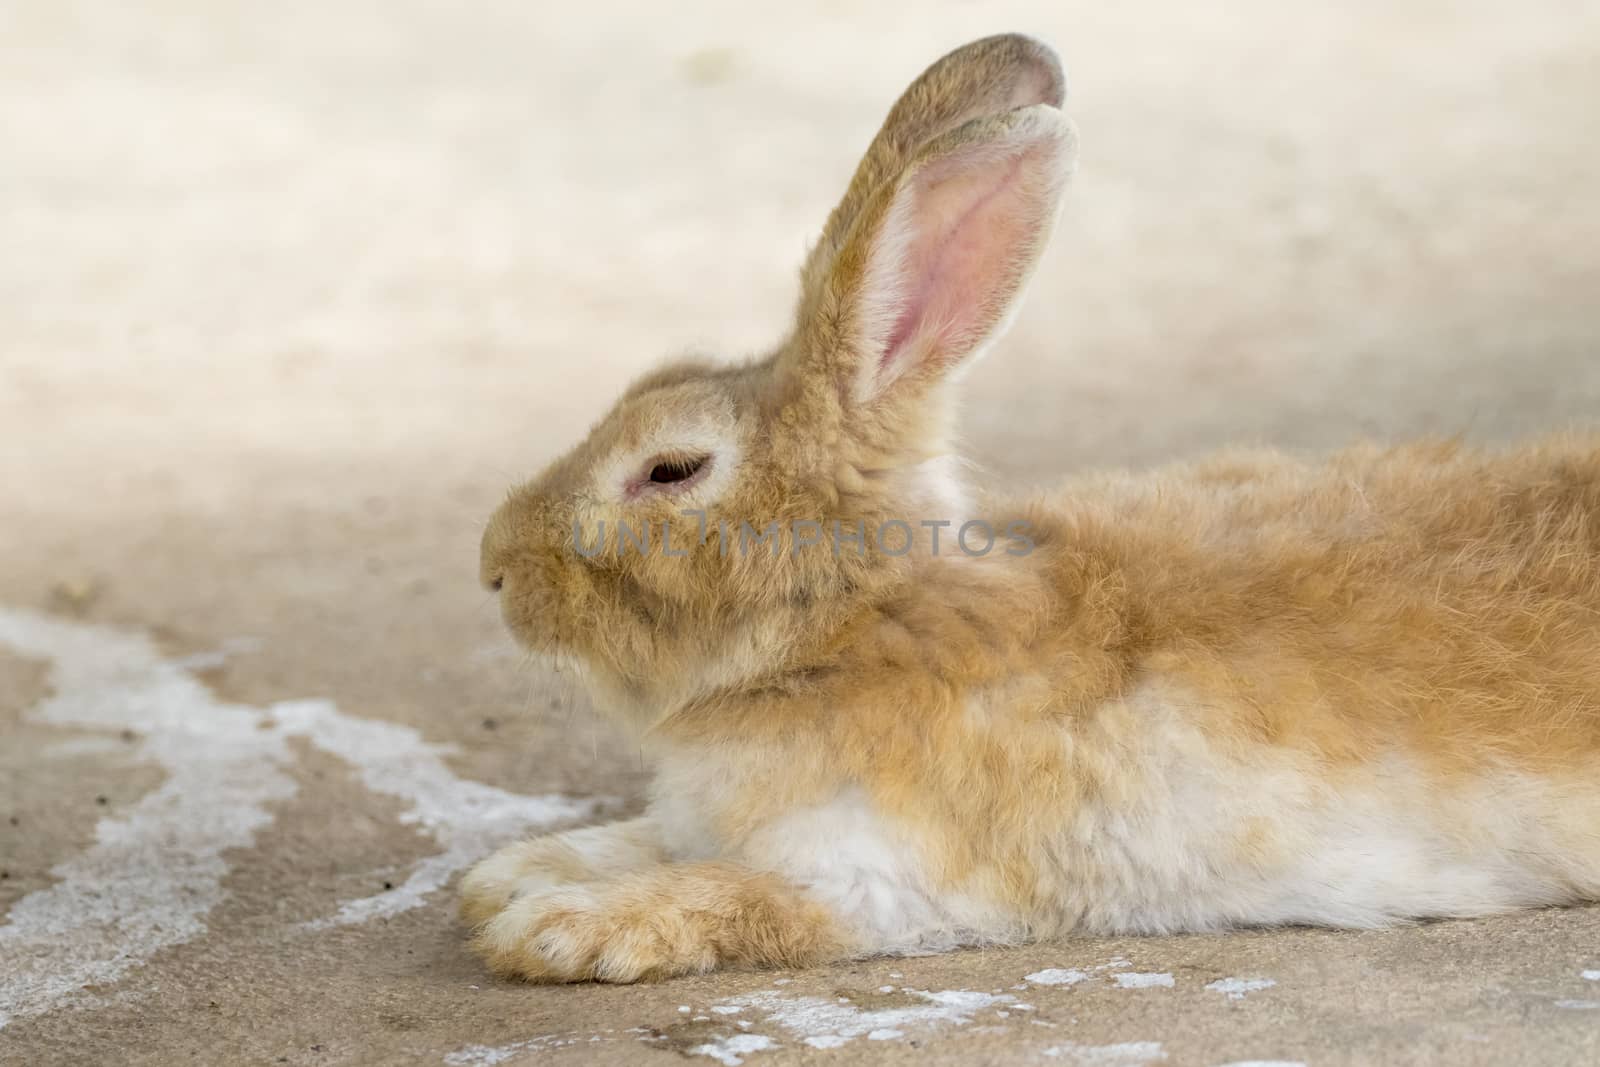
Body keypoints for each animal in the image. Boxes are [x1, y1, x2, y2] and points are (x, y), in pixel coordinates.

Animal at [460, 31, 1600, 985]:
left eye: (671, 469)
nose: (494, 568)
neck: (861, 620)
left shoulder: (880, 879)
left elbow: (737, 894)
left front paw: (559, 928)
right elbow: (647, 836)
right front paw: (514, 875)